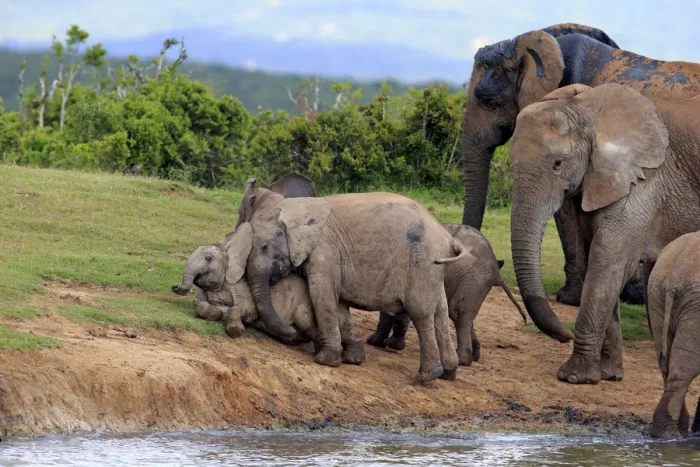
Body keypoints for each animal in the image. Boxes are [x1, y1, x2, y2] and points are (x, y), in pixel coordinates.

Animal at [171, 222, 365, 362]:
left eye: (208, 258)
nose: (173, 287)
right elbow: (204, 307)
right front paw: (217, 313)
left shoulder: (241, 287)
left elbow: (246, 309)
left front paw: (235, 330)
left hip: (304, 308)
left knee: (308, 324)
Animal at [235, 176, 471, 383]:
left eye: (264, 247)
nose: (293, 332)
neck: (292, 206)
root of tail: (449, 238)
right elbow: (338, 302)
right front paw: (353, 358)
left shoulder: (324, 250)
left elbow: (322, 293)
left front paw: (325, 360)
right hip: (434, 268)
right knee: (440, 312)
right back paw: (449, 373)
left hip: (423, 263)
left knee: (421, 313)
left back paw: (427, 376)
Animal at [366, 223, 526, 366]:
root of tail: (495, 268)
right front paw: (380, 342)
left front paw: (379, 343)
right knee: (465, 314)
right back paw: (474, 356)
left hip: (473, 278)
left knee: (458, 312)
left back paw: (462, 361)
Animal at [508, 82, 700, 385]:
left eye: (558, 163)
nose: (565, 335)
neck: (589, 109)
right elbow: (594, 260)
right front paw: (607, 375)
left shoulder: (644, 181)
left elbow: (608, 262)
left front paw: (574, 378)